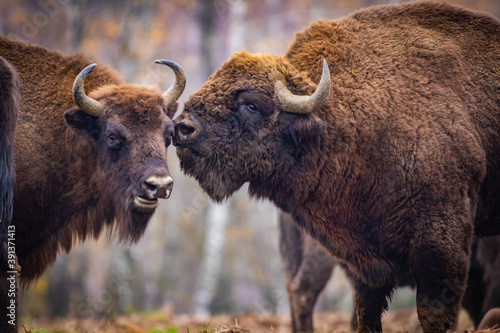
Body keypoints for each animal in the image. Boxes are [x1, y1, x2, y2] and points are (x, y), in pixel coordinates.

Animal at [174, 1, 500, 330]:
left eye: (252, 104)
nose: (183, 128)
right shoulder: (365, 261)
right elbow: (367, 312)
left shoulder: (441, 243)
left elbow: (433, 311)